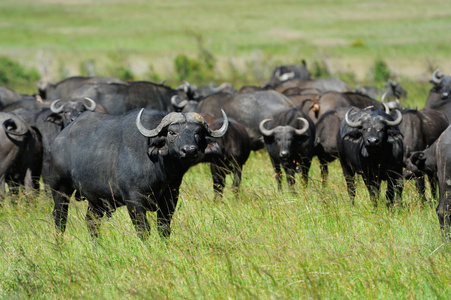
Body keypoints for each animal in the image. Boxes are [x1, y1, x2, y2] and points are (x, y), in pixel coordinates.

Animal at [49, 108, 230, 239]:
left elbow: (164, 228)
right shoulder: (133, 199)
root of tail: (58, 139)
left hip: (97, 200)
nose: (189, 150)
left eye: (197, 132)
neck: (161, 169)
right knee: (60, 220)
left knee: (91, 222)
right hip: (61, 190)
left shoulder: (170, 198)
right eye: (172, 132)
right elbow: (144, 230)